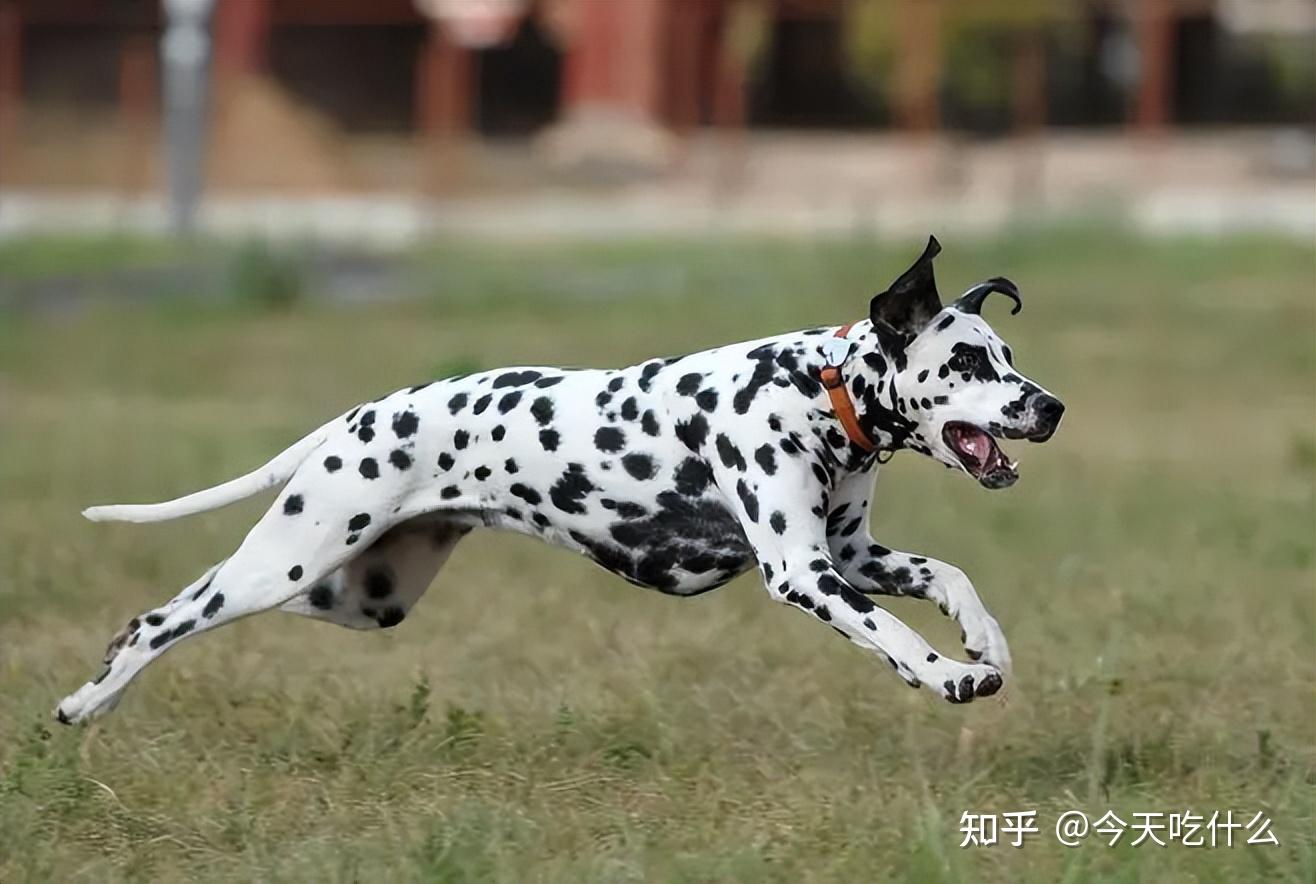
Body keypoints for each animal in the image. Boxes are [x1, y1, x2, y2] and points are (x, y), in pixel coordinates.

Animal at [56, 236, 1063, 726]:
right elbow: (894, 634)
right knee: (166, 618)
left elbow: (948, 576)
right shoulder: (806, 574)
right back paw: (87, 701)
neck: (816, 389)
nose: (1050, 406)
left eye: (1010, 356)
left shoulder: (852, 555)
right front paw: (948, 676)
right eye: (970, 361)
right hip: (289, 560)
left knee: (182, 606)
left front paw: (985, 641)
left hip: (361, 594)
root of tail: (359, 415)